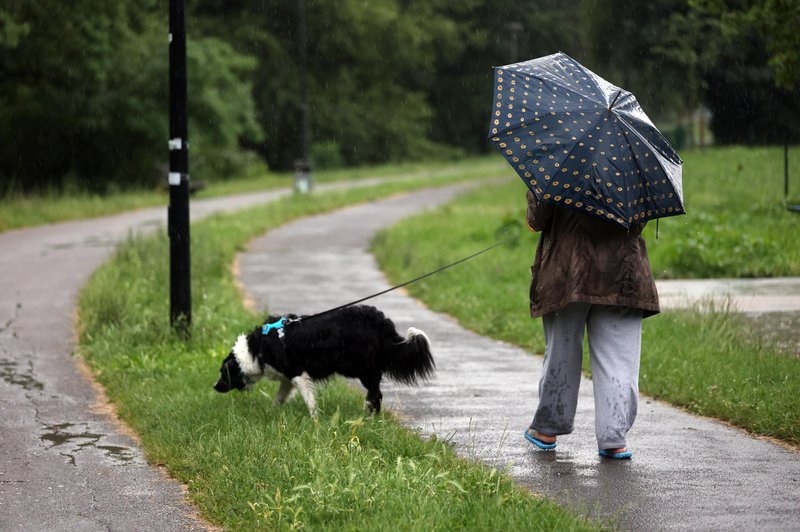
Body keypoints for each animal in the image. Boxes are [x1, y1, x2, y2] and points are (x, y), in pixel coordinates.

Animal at [212, 308, 434, 416]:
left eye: (223, 373)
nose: (215, 387)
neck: (256, 348)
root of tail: (380, 321)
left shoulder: (297, 373)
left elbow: (309, 400)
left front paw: (315, 420)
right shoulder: (287, 378)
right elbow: (279, 399)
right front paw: (271, 413)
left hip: (360, 368)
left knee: (375, 392)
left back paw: (368, 414)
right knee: (377, 394)